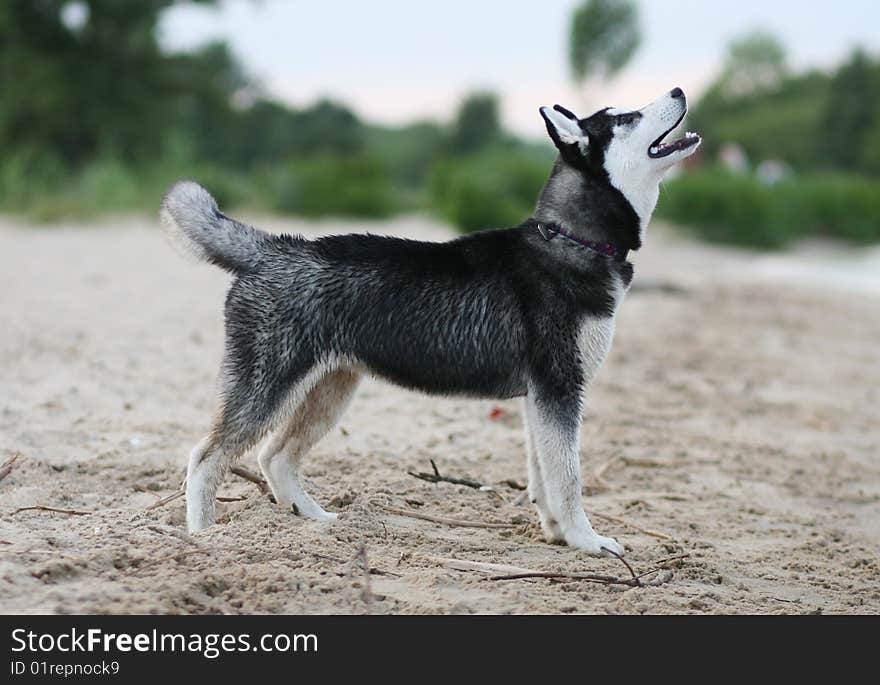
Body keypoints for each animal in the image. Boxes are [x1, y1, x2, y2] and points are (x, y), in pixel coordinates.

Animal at [162, 87, 700, 556]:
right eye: (626, 117)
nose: (678, 89)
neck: (571, 239)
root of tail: (274, 249)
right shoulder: (560, 389)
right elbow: (568, 479)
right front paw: (586, 540)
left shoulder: (541, 398)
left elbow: (543, 476)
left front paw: (556, 534)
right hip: (268, 386)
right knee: (206, 459)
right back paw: (205, 538)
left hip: (331, 390)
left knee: (274, 457)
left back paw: (316, 521)